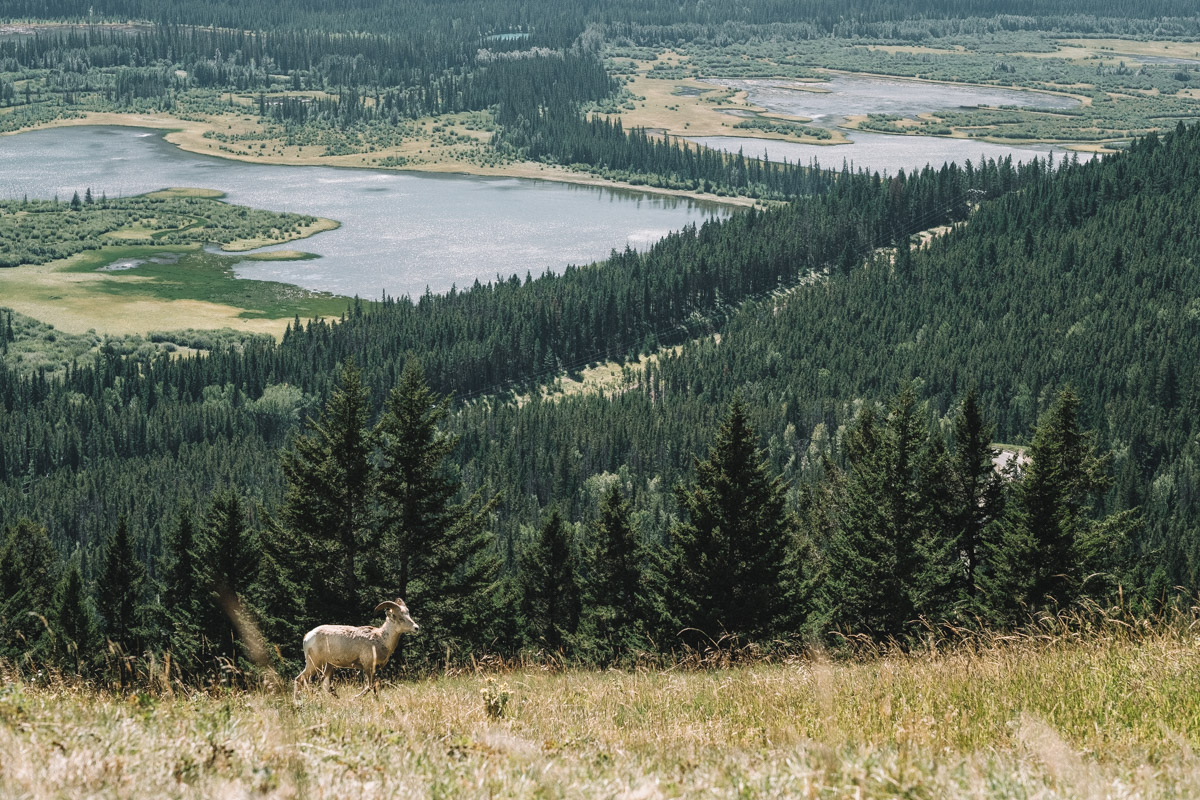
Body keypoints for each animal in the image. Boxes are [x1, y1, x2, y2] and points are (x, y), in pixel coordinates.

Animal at [292, 597, 420, 705]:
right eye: (400, 617)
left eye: (408, 614)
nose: (416, 628)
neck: (381, 639)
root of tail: (307, 636)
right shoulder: (368, 667)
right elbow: (369, 686)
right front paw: (354, 698)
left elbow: (374, 687)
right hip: (314, 664)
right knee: (299, 679)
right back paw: (297, 703)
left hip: (328, 666)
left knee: (325, 685)